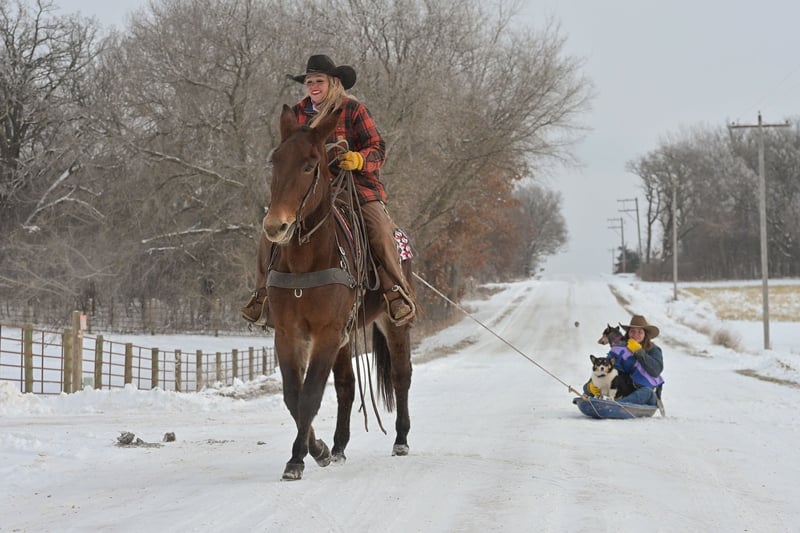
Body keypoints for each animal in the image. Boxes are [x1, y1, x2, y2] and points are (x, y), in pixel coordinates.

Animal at [261, 104, 413, 481]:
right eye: (275, 161)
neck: (306, 262)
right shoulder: (289, 334)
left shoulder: (327, 333)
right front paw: (319, 449)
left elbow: (311, 395)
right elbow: (294, 396)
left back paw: (401, 439)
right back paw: (340, 446)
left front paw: (298, 459)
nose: (275, 226)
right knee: (347, 386)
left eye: (309, 165)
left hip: (394, 323)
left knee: (401, 376)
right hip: (346, 336)